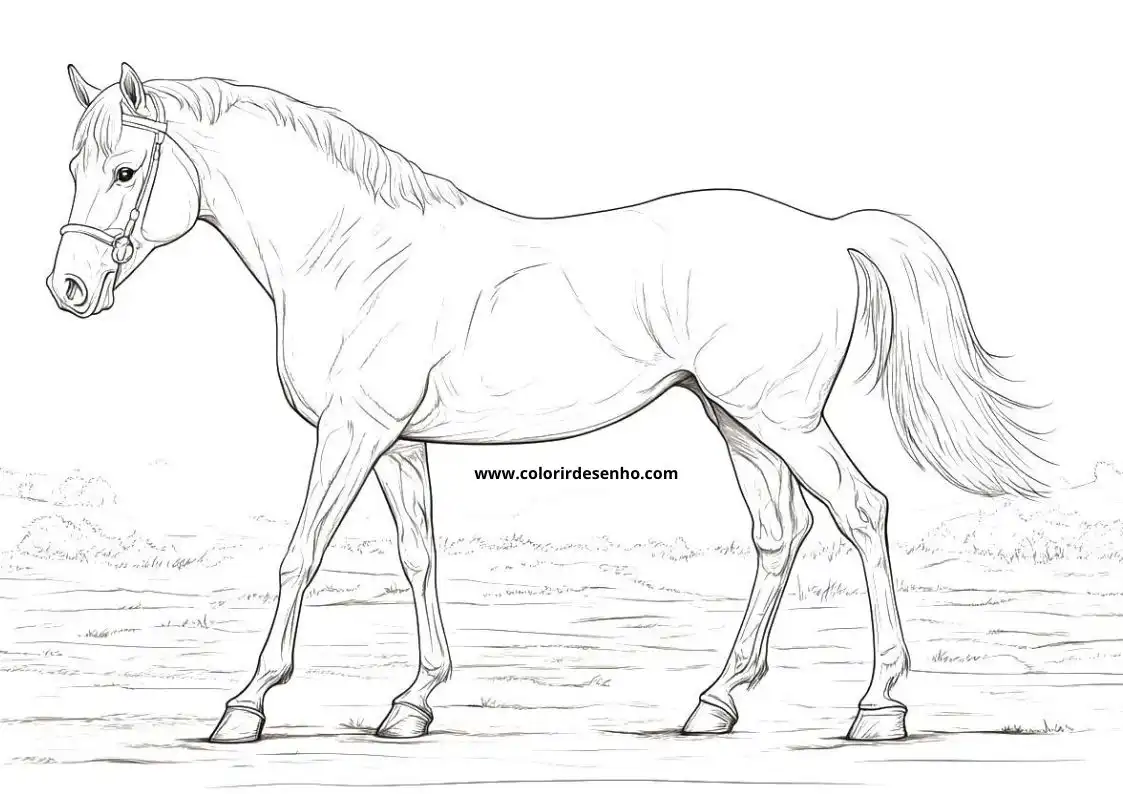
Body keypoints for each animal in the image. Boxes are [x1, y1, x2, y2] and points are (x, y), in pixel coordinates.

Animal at [49, 63, 1047, 745]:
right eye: (73, 166)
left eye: (127, 170)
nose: (68, 289)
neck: (354, 255)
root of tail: (828, 232)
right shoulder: (397, 441)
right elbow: (418, 557)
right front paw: (412, 703)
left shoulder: (352, 432)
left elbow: (300, 555)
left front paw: (244, 707)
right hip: (738, 418)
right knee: (780, 533)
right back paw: (714, 703)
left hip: (782, 418)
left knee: (862, 512)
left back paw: (878, 705)